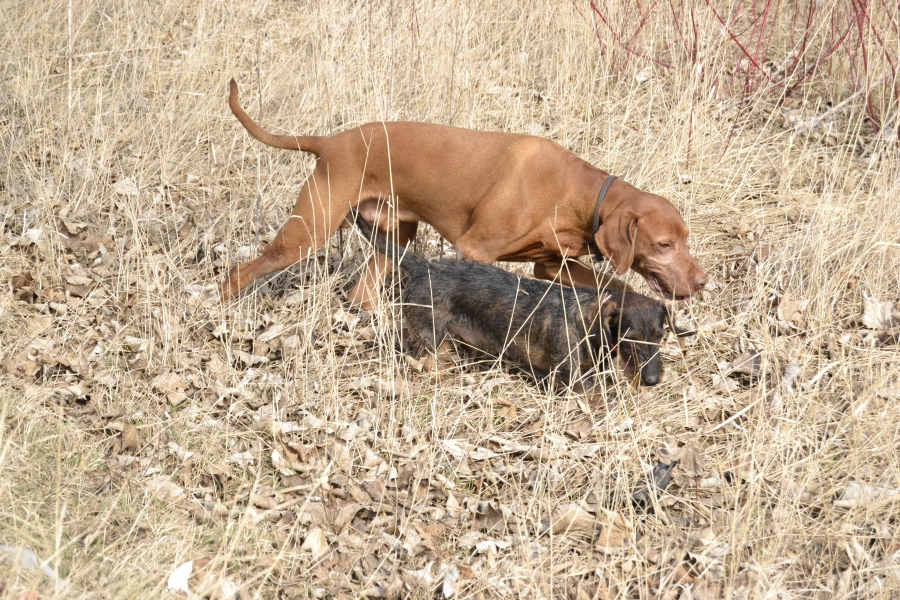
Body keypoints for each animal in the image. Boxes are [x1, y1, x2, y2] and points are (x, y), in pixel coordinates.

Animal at [221, 80, 707, 309]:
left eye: (685, 240)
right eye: (664, 245)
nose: (703, 282)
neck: (579, 191)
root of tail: (329, 143)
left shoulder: (551, 266)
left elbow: (611, 282)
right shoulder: (475, 249)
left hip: (395, 235)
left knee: (362, 294)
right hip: (307, 233)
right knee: (239, 273)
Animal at [354, 213, 694, 387]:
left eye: (659, 336)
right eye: (629, 337)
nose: (652, 380)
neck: (591, 320)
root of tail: (423, 266)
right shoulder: (573, 379)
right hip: (431, 340)